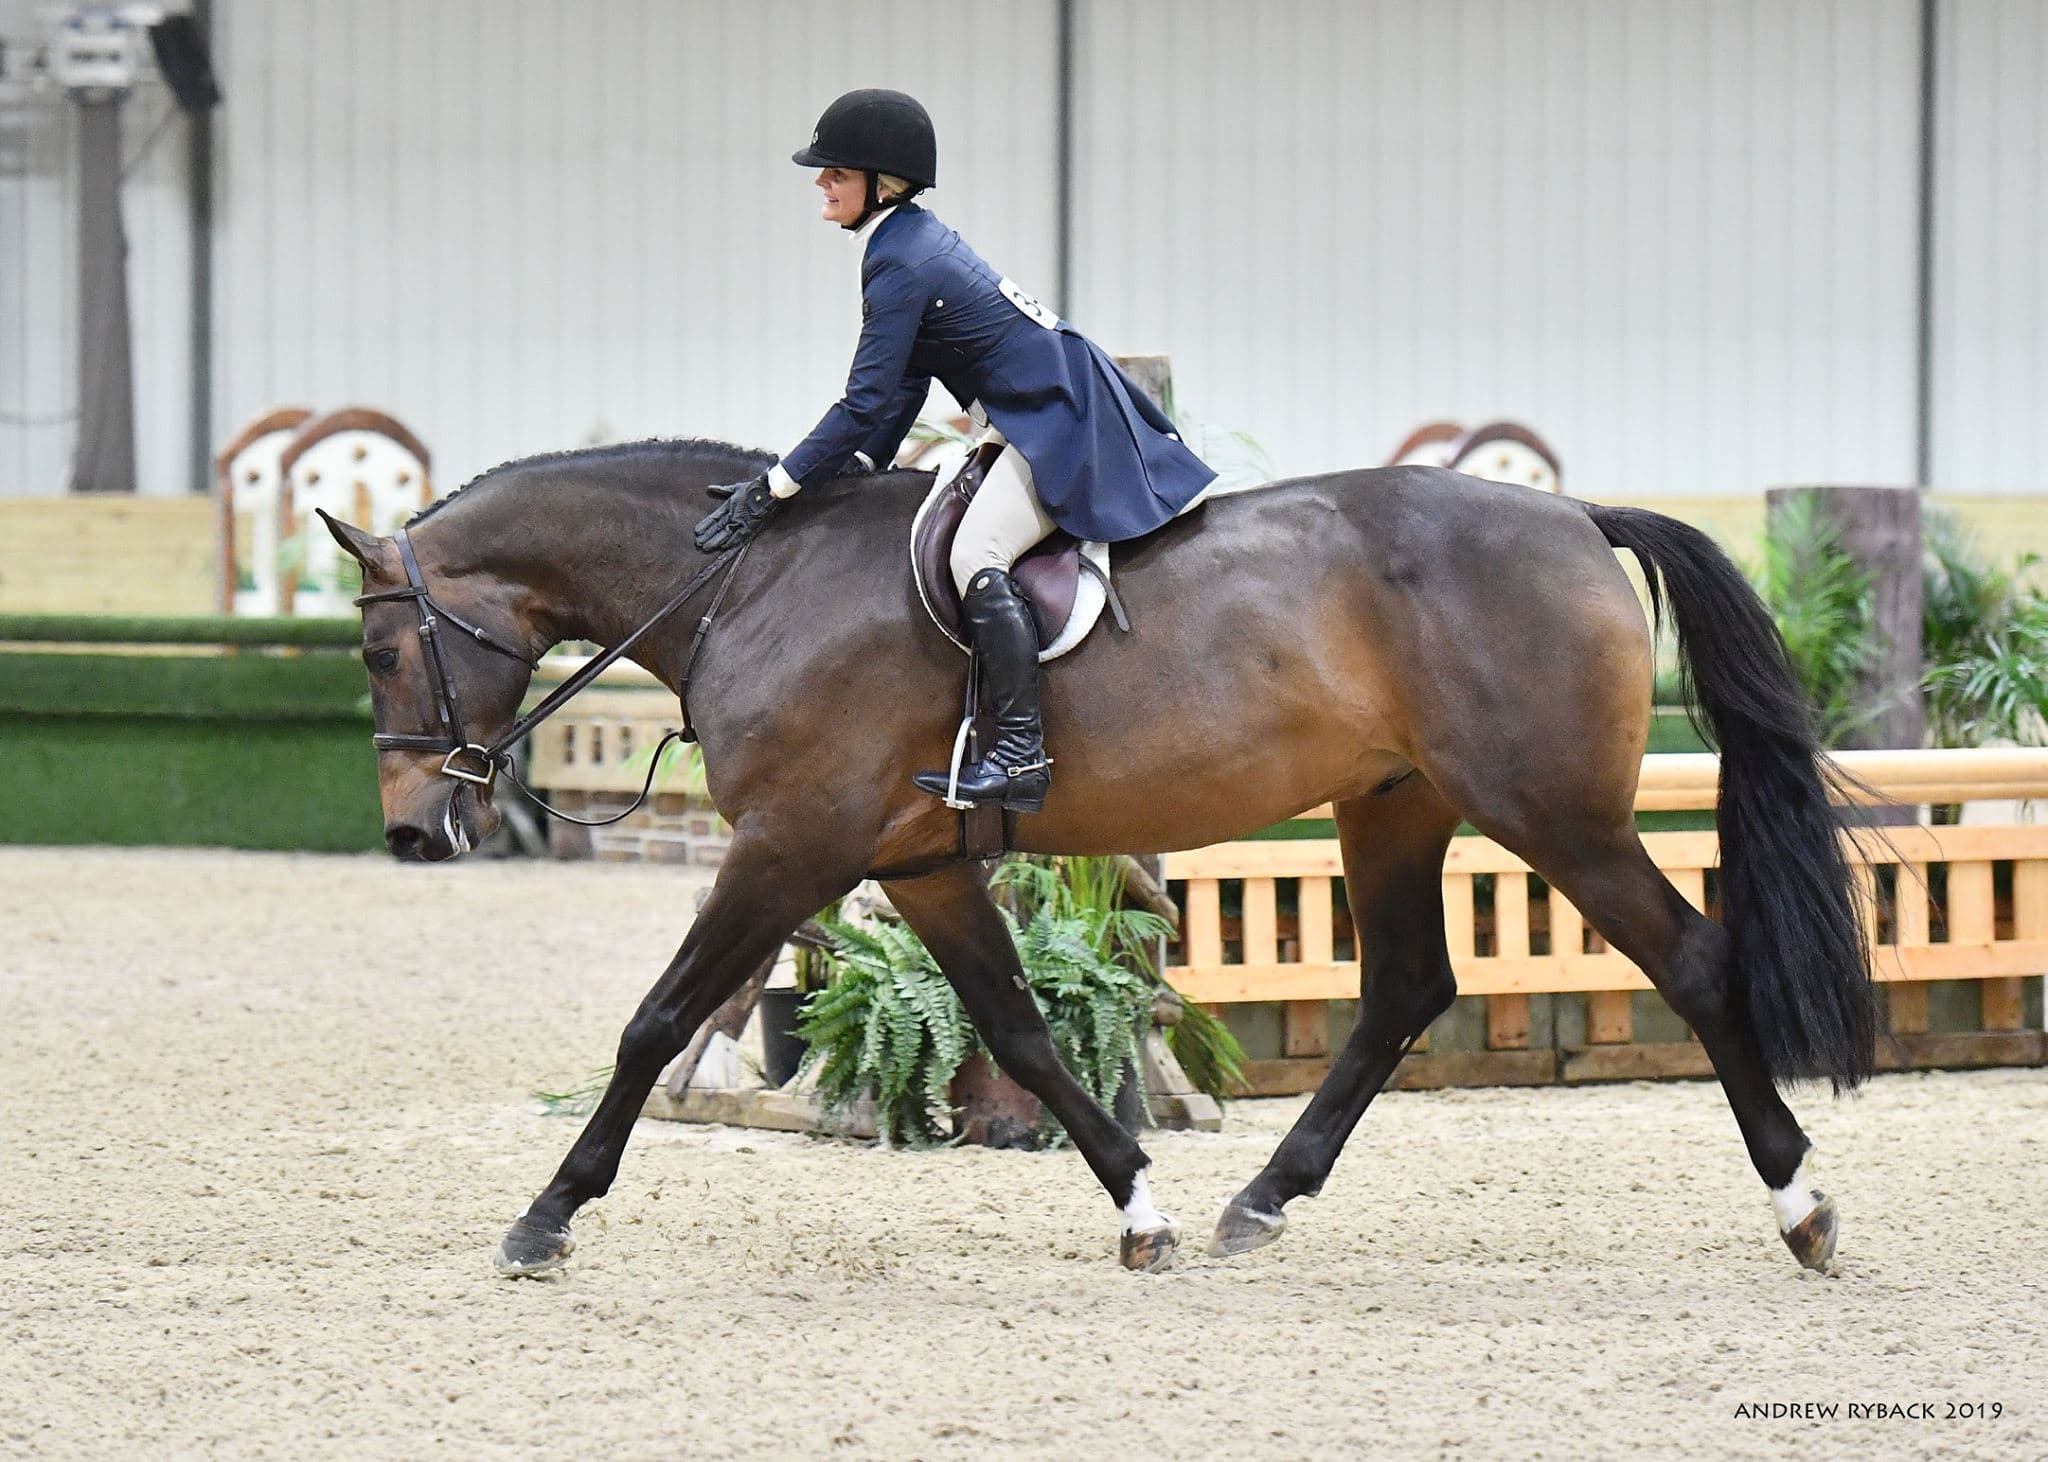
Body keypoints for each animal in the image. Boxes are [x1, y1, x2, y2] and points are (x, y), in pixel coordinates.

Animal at [320, 436, 1878, 1279]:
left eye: (382, 650)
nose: (411, 831)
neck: (748, 582)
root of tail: (1572, 513)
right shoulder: (923, 865)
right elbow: (1018, 1028)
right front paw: (1141, 1208)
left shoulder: (786, 847)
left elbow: (652, 1023)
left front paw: (545, 1217)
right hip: (1396, 802)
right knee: (1401, 993)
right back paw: (1261, 1200)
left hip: (1550, 813)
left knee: (1692, 960)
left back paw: (1803, 1207)